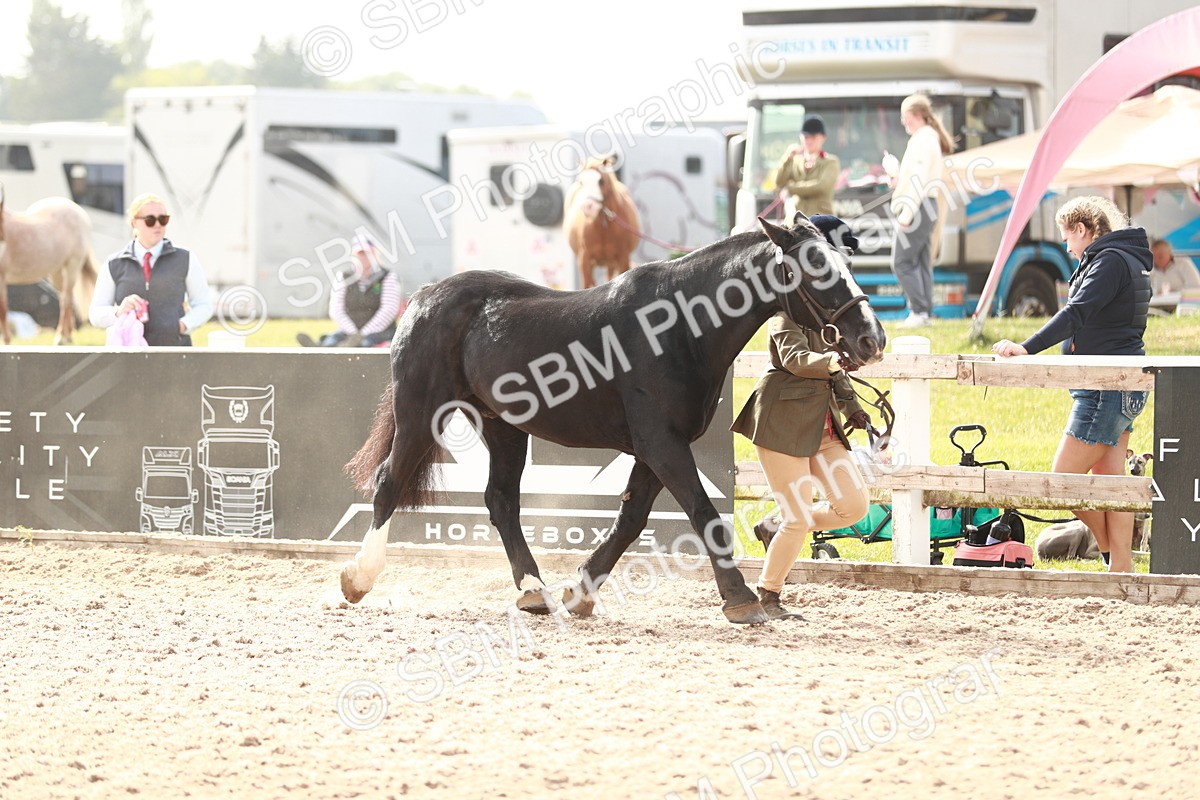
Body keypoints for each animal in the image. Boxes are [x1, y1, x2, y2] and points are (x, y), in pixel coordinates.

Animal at [0, 186, 98, 345]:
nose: (3, 238)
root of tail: (79, 211)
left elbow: (3, 309)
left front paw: (6, 341)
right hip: (57, 273)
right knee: (64, 297)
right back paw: (67, 336)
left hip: (72, 265)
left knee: (66, 298)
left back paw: (62, 338)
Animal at [341, 215, 886, 624]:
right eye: (815, 269)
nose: (872, 339)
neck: (678, 327)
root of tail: (426, 296)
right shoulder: (662, 444)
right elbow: (703, 514)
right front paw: (740, 599)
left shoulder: (656, 447)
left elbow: (630, 519)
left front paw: (579, 594)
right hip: (420, 413)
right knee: (389, 484)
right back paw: (358, 578)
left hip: (504, 427)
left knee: (501, 502)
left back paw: (534, 590)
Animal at [564, 156, 641, 289]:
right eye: (581, 182)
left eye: (601, 180)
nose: (588, 207)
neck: (602, 228)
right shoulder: (584, 259)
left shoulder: (622, 258)